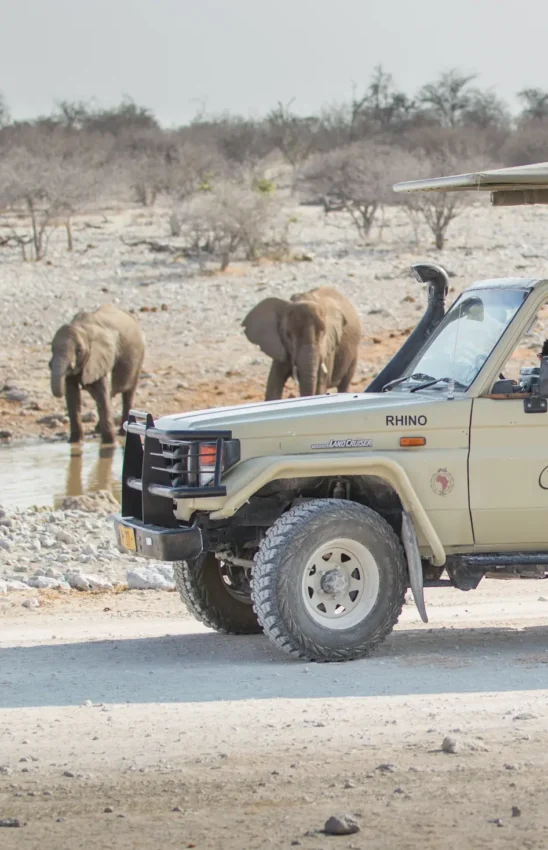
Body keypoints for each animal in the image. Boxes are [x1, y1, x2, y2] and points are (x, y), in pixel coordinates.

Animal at [49, 304, 145, 444]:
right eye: (52, 348)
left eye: (79, 351)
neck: (82, 328)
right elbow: (72, 395)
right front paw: (74, 442)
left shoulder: (100, 356)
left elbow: (101, 392)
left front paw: (110, 443)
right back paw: (98, 430)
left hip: (138, 358)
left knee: (128, 393)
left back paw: (123, 432)